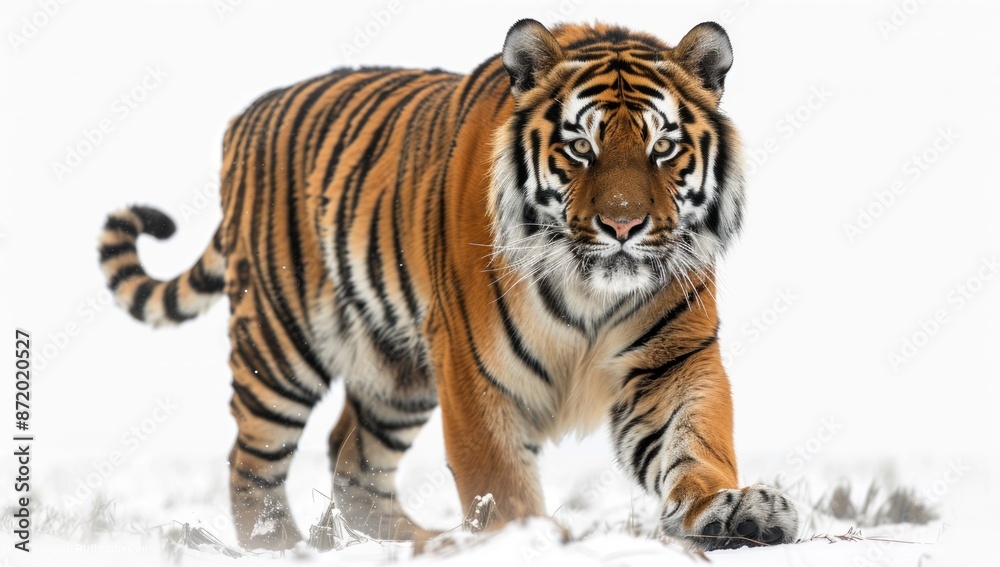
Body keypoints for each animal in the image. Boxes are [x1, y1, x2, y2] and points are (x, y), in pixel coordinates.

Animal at [97, 19, 799, 551]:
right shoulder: (471, 364)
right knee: (252, 461)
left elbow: (698, 441)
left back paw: (422, 541)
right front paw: (528, 539)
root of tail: (245, 116)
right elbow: (497, 474)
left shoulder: (674, 360)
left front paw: (734, 509)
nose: (623, 225)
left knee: (353, 464)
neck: (590, 292)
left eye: (663, 149)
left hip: (395, 373)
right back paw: (280, 546)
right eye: (580, 148)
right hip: (279, 345)